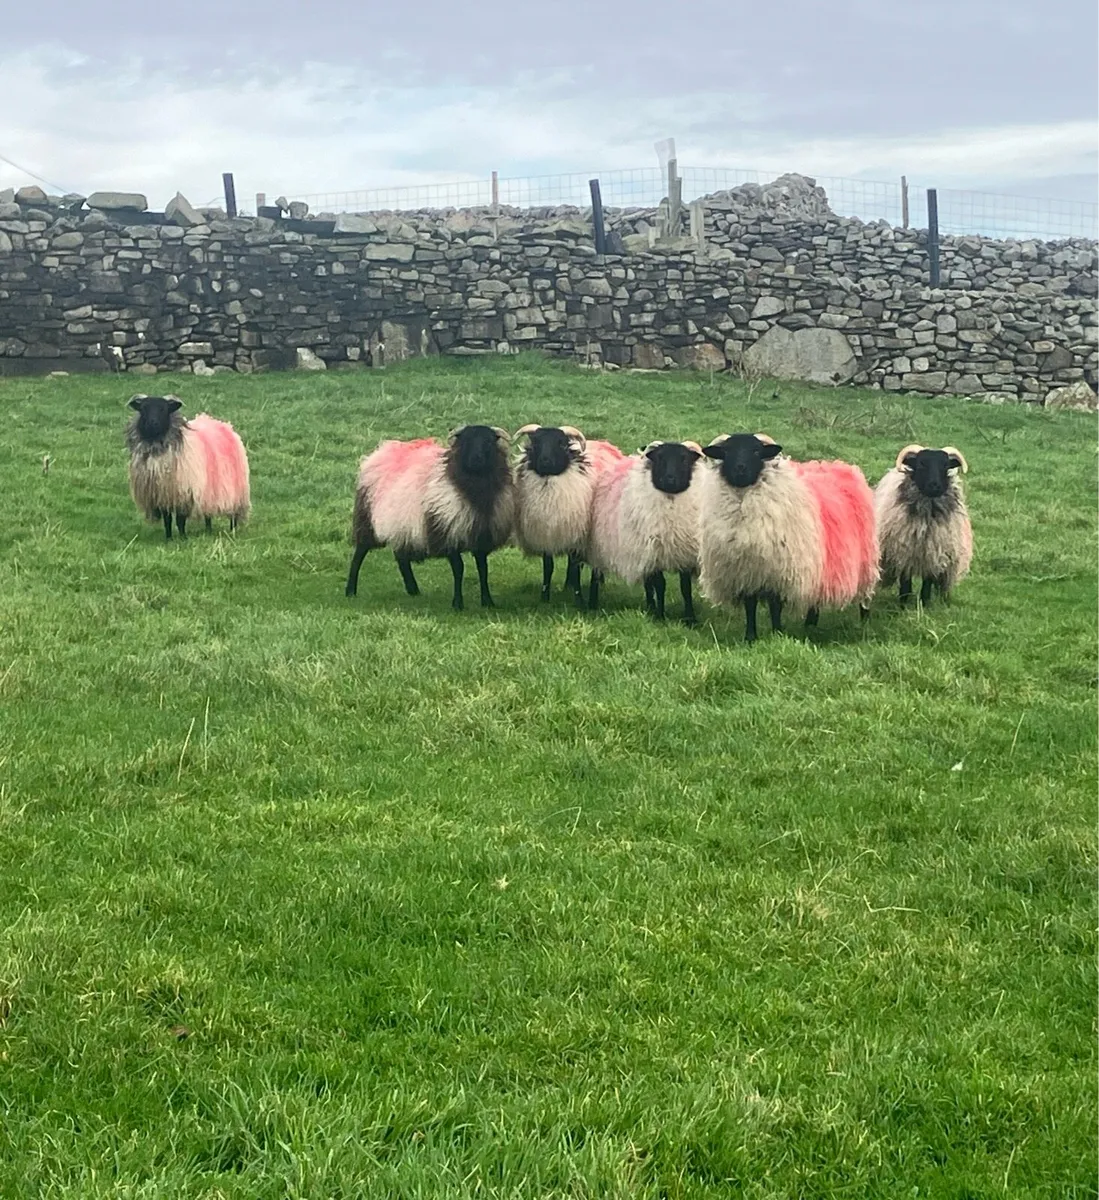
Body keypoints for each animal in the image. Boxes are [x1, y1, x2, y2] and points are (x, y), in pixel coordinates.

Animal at [126, 393, 250, 539]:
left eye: (163, 409)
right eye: (144, 408)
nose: (153, 423)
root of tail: (222, 424)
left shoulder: (184, 493)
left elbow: (180, 520)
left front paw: (183, 538)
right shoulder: (163, 494)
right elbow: (167, 520)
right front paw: (169, 539)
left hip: (237, 489)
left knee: (233, 514)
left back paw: (232, 531)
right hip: (208, 491)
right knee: (207, 513)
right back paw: (208, 530)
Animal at [344, 424, 515, 610]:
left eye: (489, 442)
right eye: (465, 441)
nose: (476, 459)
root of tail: (385, 449)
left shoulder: (481, 537)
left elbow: (483, 569)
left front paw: (487, 601)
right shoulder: (447, 534)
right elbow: (459, 569)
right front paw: (457, 604)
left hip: (401, 525)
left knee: (401, 557)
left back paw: (413, 589)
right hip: (366, 519)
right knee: (359, 554)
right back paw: (350, 590)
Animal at [586, 440, 705, 625]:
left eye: (684, 459)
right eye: (660, 458)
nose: (670, 478)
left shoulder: (683, 553)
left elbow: (685, 588)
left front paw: (690, 618)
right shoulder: (653, 553)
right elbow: (660, 585)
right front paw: (660, 617)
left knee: (648, 584)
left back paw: (650, 607)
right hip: (606, 545)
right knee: (597, 574)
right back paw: (592, 604)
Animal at [698, 433, 878, 642]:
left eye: (756, 451)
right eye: (726, 452)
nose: (740, 468)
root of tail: (842, 467)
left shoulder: (780, 570)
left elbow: (775, 606)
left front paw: (777, 633)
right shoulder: (747, 571)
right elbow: (750, 606)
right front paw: (750, 637)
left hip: (865, 562)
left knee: (865, 596)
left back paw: (864, 621)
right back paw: (810, 624)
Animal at [874, 444, 972, 606]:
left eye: (945, 465)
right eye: (921, 464)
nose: (935, 485)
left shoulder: (935, 555)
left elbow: (927, 582)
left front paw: (925, 603)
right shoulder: (903, 554)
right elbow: (905, 582)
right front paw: (903, 604)